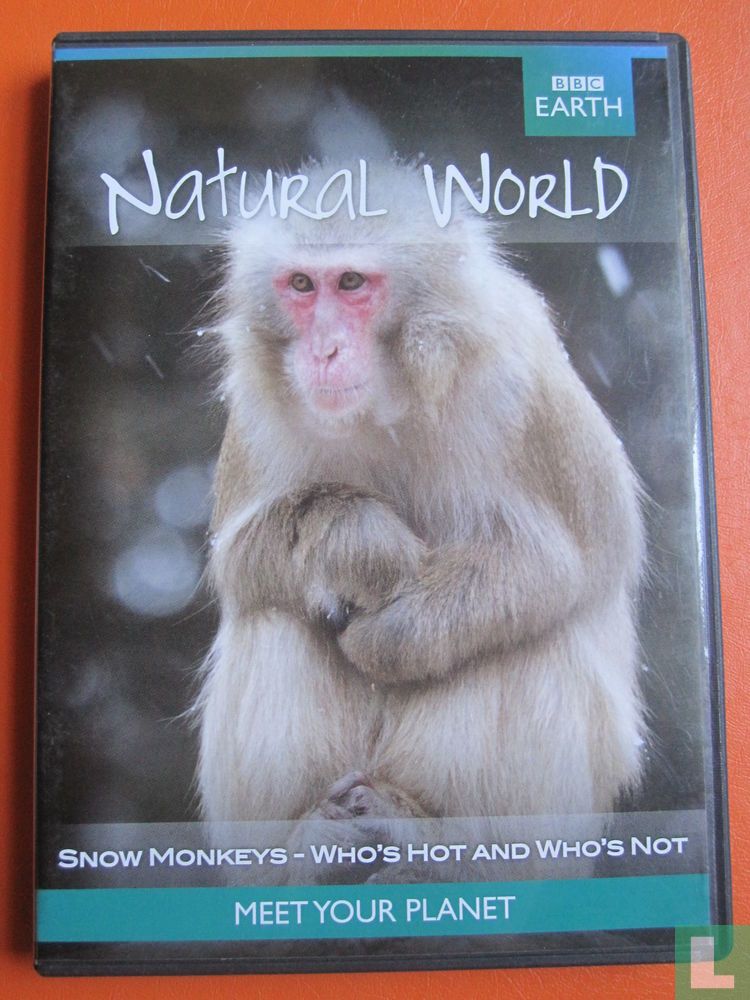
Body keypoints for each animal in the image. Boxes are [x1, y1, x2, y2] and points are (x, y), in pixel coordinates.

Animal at [195, 161, 646, 883]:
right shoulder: (258, 409)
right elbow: (237, 560)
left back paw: (441, 850)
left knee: (526, 639)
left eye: (352, 283)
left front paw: (392, 634)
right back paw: (313, 850)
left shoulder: (521, 376)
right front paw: (350, 542)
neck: (394, 395)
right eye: (301, 285)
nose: (324, 350)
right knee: (276, 617)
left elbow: (578, 560)